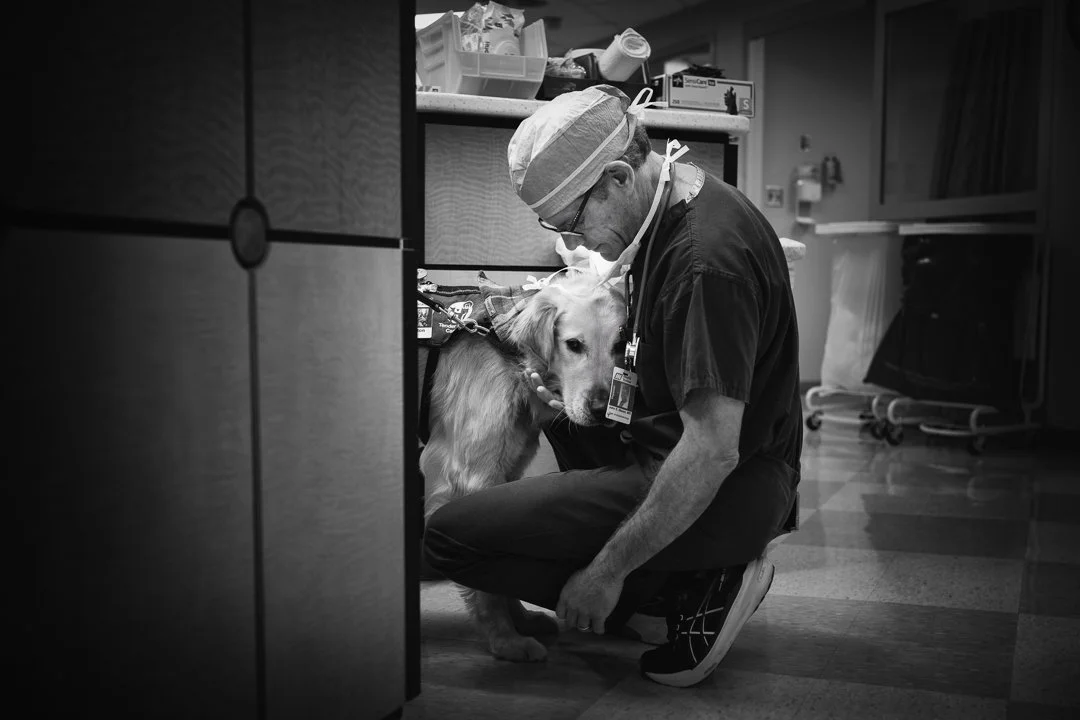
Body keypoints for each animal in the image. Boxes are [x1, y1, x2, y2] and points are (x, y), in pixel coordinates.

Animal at [420, 268, 627, 662]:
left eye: (620, 347)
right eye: (573, 345)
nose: (600, 411)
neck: (504, 347)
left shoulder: (504, 474)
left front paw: (520, 621)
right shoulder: (471, 480)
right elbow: (486, 586)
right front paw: (505, 640)